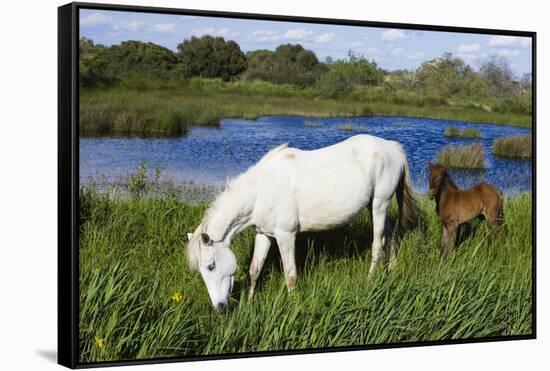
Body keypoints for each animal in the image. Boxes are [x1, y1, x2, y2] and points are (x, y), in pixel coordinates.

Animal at [188, 134, 416, 310]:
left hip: (380, 204)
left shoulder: (286, 236)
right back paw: (392, 270)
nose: (219, 308)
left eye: (210, 266)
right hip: (373, 207)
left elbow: (290, 276)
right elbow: (254, 270)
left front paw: (293, 306)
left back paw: (369, 283)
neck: (262, 189)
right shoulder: (264, 234)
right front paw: (250, 304)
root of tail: (390, 147)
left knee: (377, 244)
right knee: (391, 235)